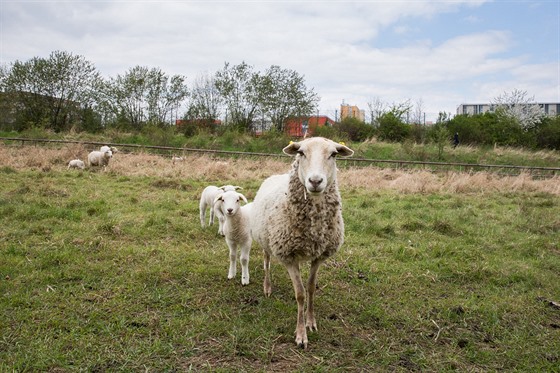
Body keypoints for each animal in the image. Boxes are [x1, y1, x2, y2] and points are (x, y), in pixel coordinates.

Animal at [250, 137, 352, 348]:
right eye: (301, 153)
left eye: (334, 154)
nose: (315, 181)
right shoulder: (288, 256)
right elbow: (300, 294)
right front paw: (301, 334)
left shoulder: (319, 255)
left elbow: (311, 288)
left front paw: (311, 322)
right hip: (266, 240)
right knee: (266, 263)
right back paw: (267, 287)